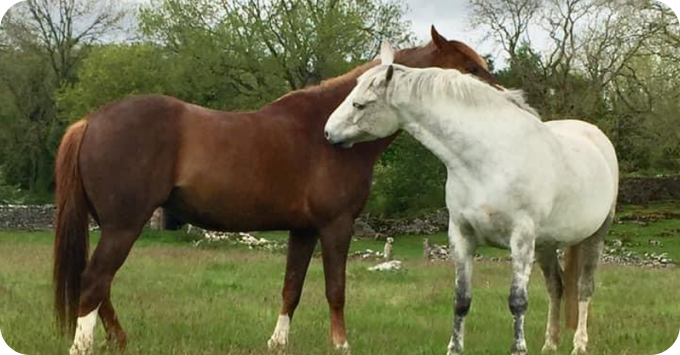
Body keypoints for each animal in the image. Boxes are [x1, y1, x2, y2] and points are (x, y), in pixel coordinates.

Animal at [53, 26, 496, 354]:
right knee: (94, 280)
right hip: (124, 226)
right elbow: (336, 289)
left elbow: (291, 288)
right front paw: (341, 344)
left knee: (100, 285)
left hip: (113, 227)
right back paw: (84, 345)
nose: (501, 100)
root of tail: (91, 121)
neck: (329, 135)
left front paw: (278, 342)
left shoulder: (303, 230)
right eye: (469, 69)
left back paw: (119, 340)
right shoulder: (336, 226)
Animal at [326, 43, 620, 355]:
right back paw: (550, 344)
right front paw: (454, 348)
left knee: (585, 288)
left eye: (360, 104)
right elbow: (461, 299)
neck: (488, 158)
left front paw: (518, 348)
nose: (328, 133)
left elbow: (518, 301)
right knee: (557, 287)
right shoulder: (462, 235)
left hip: (594, 236)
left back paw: (579, 344)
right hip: (546, 244)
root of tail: (594, 135)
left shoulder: (521, 239)